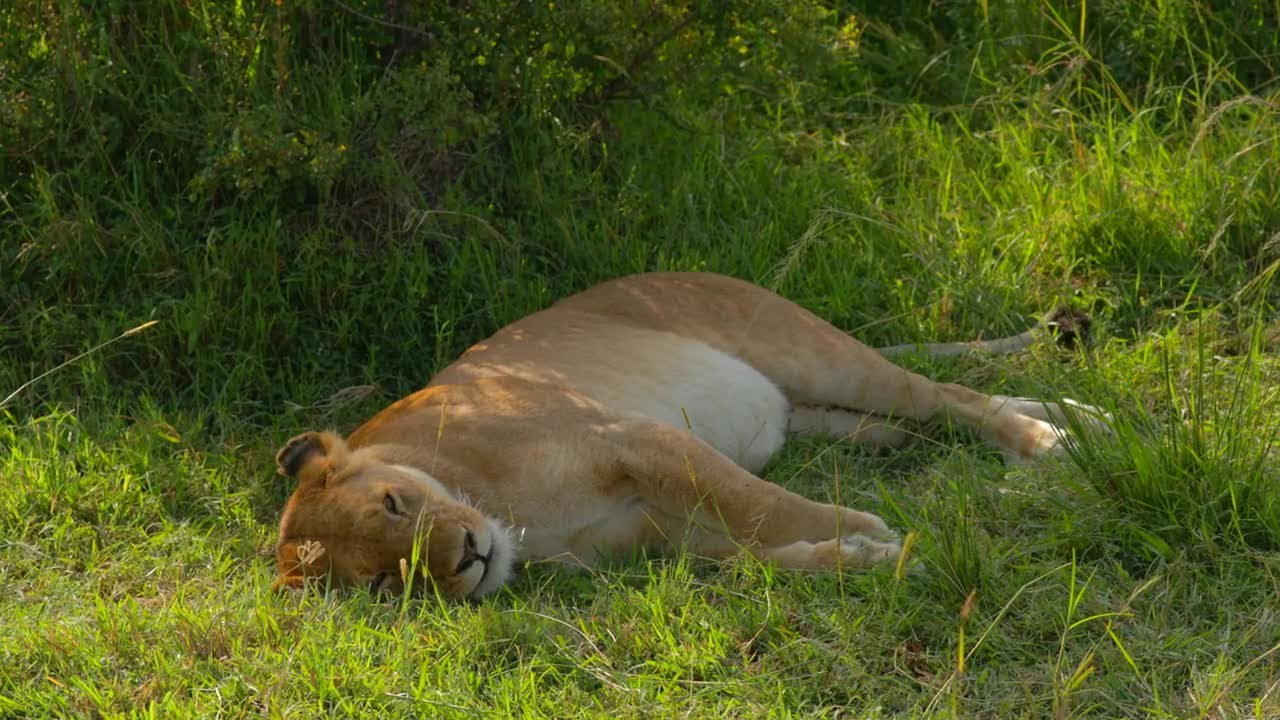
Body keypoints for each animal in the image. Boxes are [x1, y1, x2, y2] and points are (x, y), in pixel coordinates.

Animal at [272, 272, 1100, 599]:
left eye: (393, 504)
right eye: (384, 584)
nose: (466, 560)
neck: (514, 523)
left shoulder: (636, 440)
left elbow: (761, 505)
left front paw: (866, 527)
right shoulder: (652, 532)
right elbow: (756, 555)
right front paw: (863, 558)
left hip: (814, 354)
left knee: (948, 397)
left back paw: (1059, 439)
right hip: (813, 408)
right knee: (912, 420)